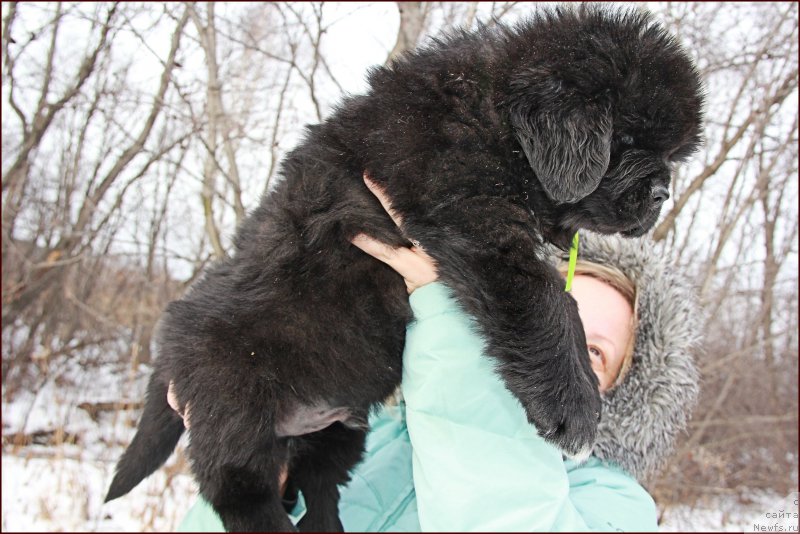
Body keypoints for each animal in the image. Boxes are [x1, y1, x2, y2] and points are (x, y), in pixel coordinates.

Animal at [109, 5, 704, 534]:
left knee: (318, 483)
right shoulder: (472, 213)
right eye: (626, 140)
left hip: (339, 422)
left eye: (670, 155)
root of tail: (171, 345)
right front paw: (576, 408)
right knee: (239, 492)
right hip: (232, 403)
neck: (494, 117)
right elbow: (545, 300)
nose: (662, 193)